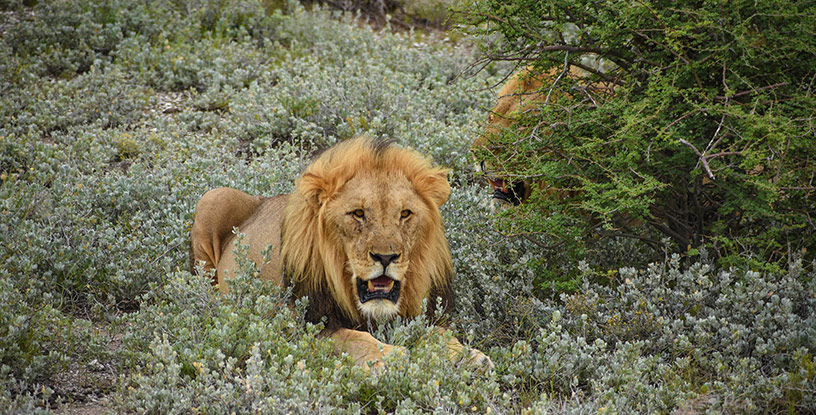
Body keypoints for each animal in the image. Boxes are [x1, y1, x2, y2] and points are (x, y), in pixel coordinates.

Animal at [190, 137, 491, 370]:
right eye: (358, 213)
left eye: (405, 214)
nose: (386, 258)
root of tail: (262, 198)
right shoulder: (302, 325)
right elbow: (353, 338)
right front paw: (392, 355)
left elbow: (439, 333)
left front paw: (469, 356)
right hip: (212, 198)